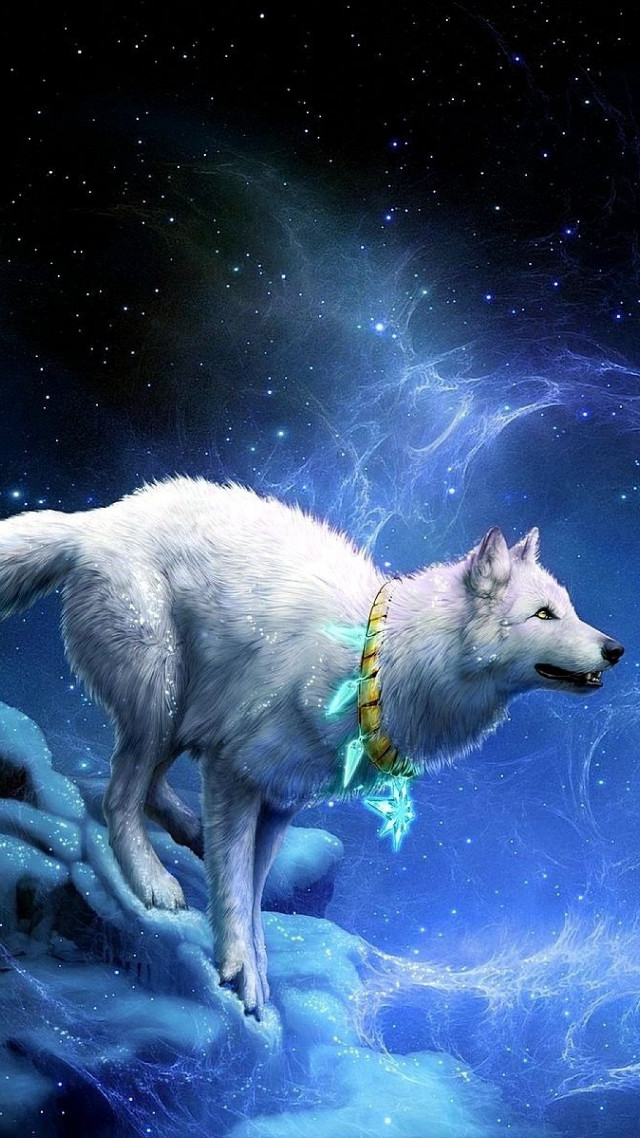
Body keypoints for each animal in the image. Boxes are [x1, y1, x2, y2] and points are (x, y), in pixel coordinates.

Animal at [0, 477, 624, 1017]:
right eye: (543, 614)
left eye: (568, 608)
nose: (616, 649)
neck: (377, 663)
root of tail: (98, 521)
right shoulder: (235, 774)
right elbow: (233, 892)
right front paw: (240, 974)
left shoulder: (280, 801)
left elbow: (251, 893)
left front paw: (258, 965)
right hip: (161, 695)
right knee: (119, 796)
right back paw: (152, 879)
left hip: (180, 715)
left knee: (149, 787)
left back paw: (190, 835)